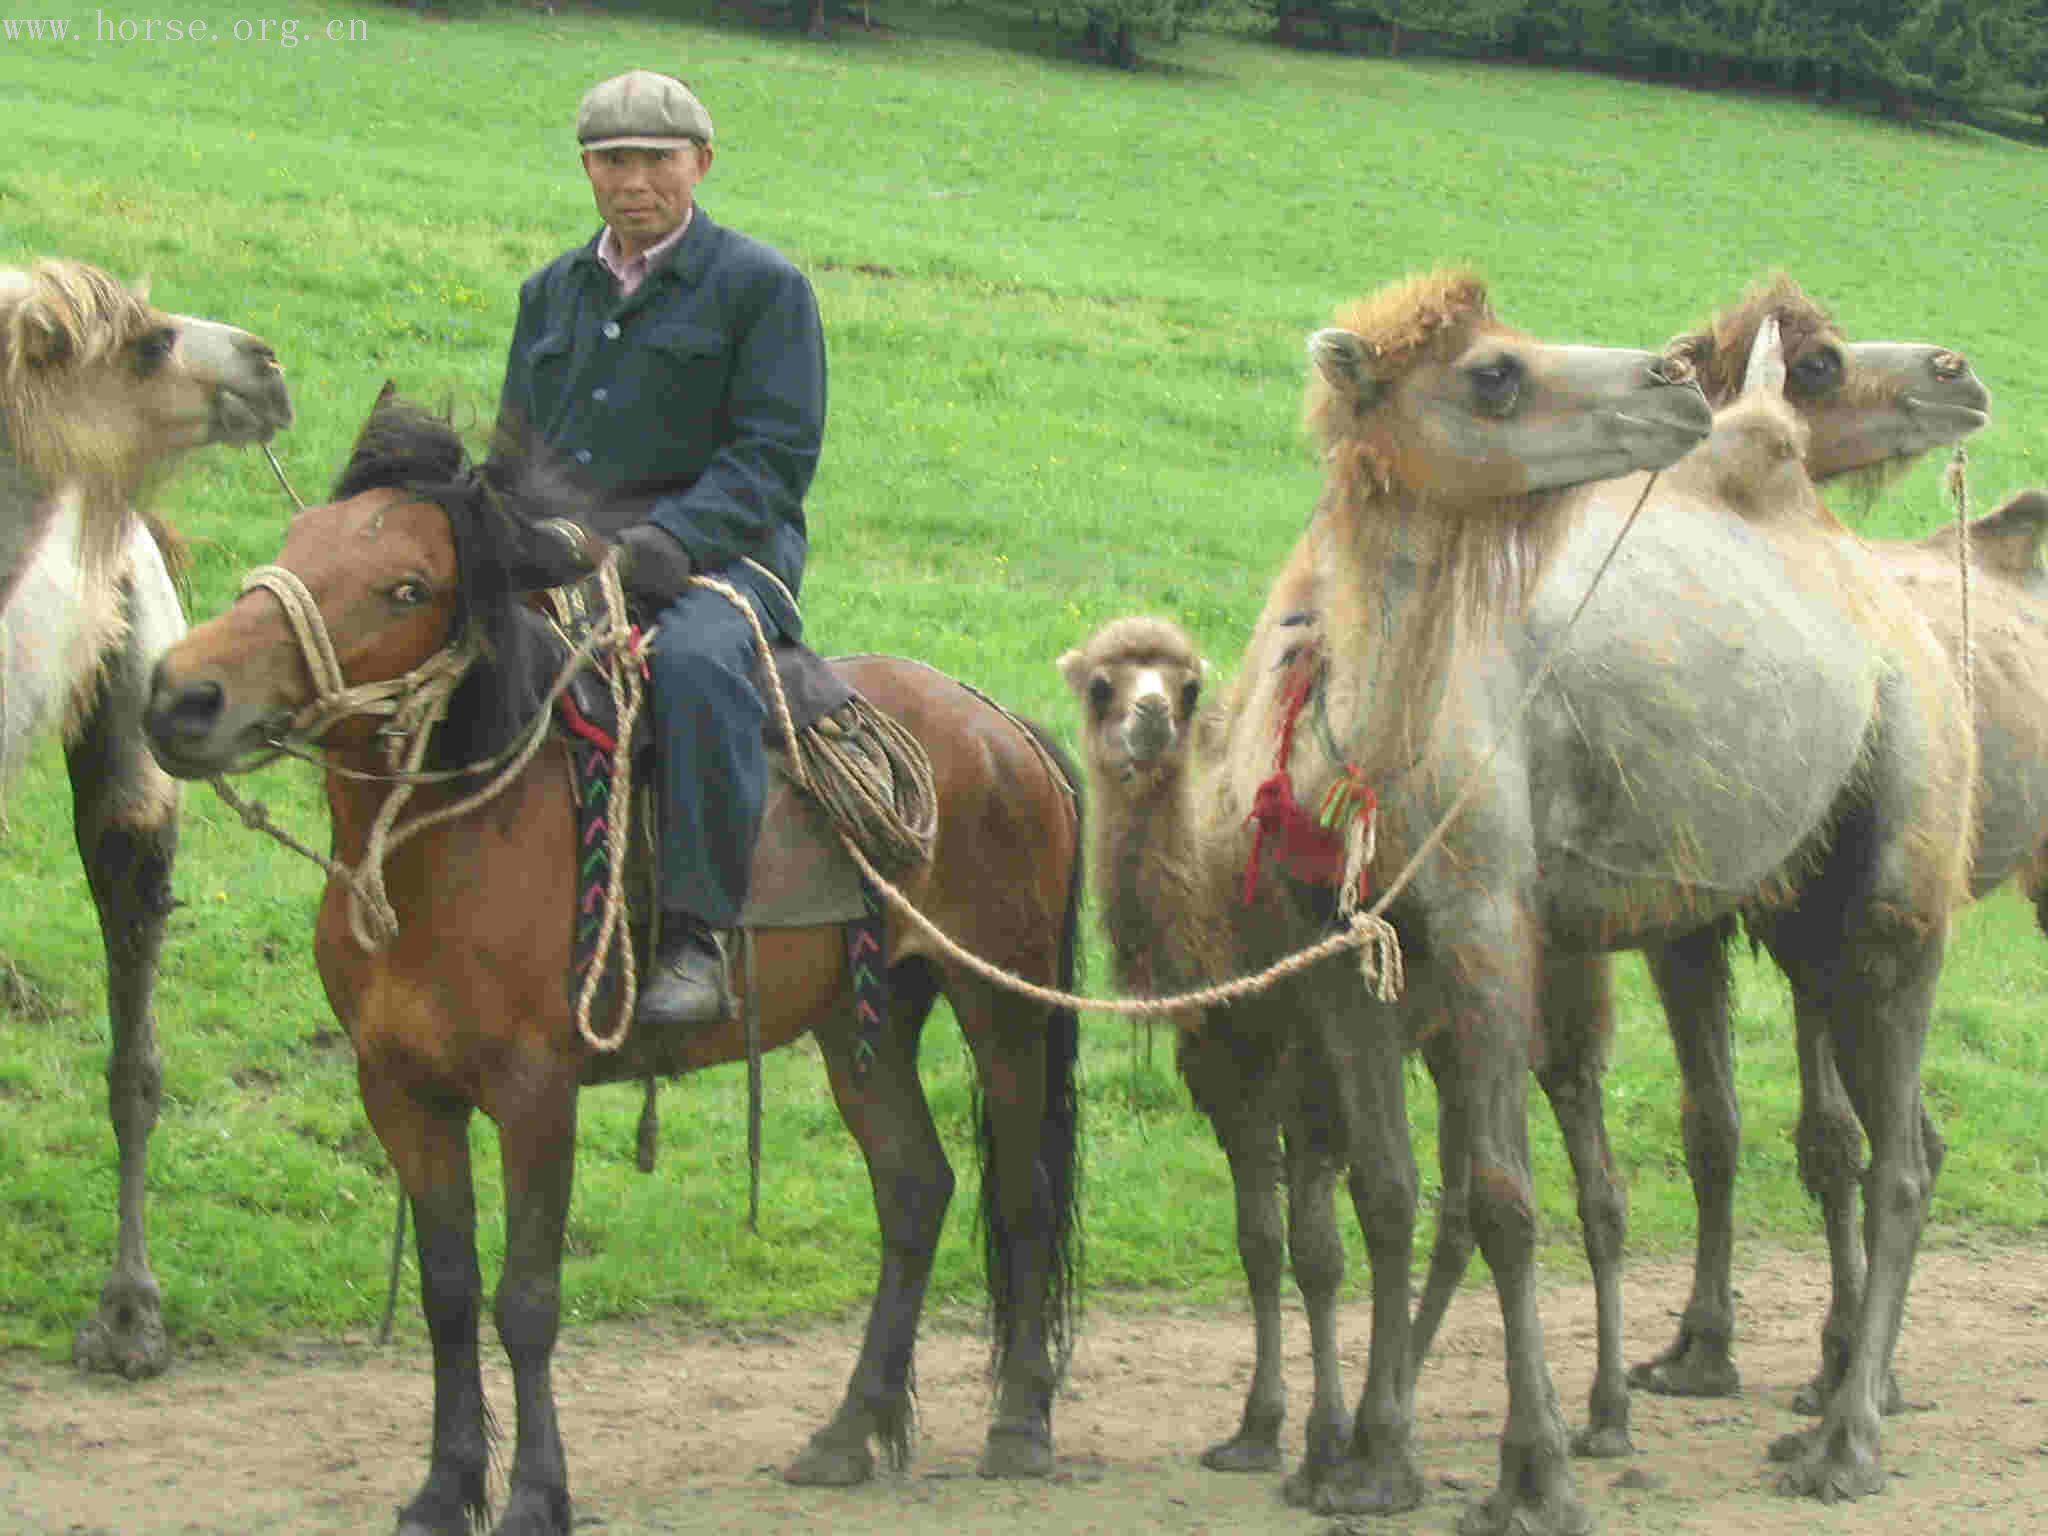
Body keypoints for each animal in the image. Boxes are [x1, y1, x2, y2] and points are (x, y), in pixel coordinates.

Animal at [140, 399, 1089, 1536]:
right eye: (296, 545)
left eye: (407, 586)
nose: (184, 698)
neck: (455, 837)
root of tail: (1003, 728)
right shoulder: (401, 1091)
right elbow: (449, 1293)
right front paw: (445, 1488)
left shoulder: (534, 1093)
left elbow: (526, 1300)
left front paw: (535, 1494)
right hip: (862, 1023)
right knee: (915, 1189)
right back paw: (849, 1432)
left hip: (999, 1001)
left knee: (1023, 1190)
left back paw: (1022, 1423)